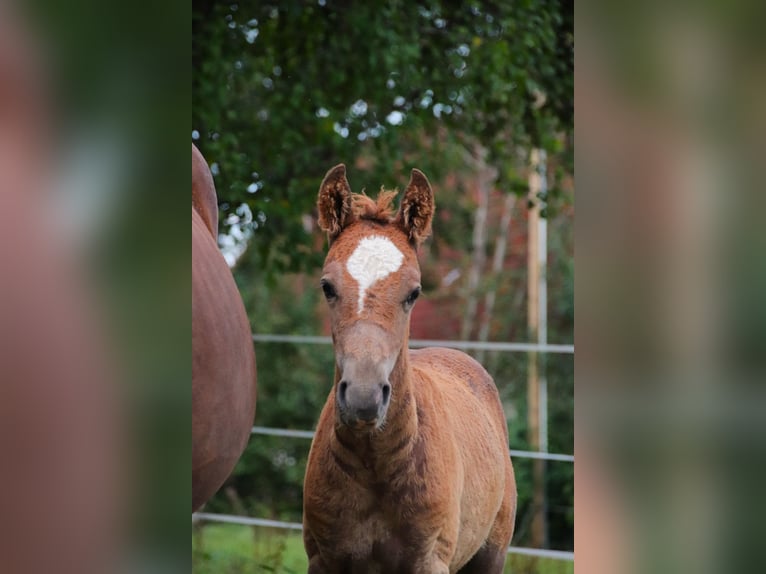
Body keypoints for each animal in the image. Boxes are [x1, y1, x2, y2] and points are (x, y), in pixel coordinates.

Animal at [304, 164, 520, 572]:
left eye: (414, 292)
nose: (364, 397)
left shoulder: (429, 560)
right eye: (327, 286)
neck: (377, 465)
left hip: (490, 555)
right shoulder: (323, 560)